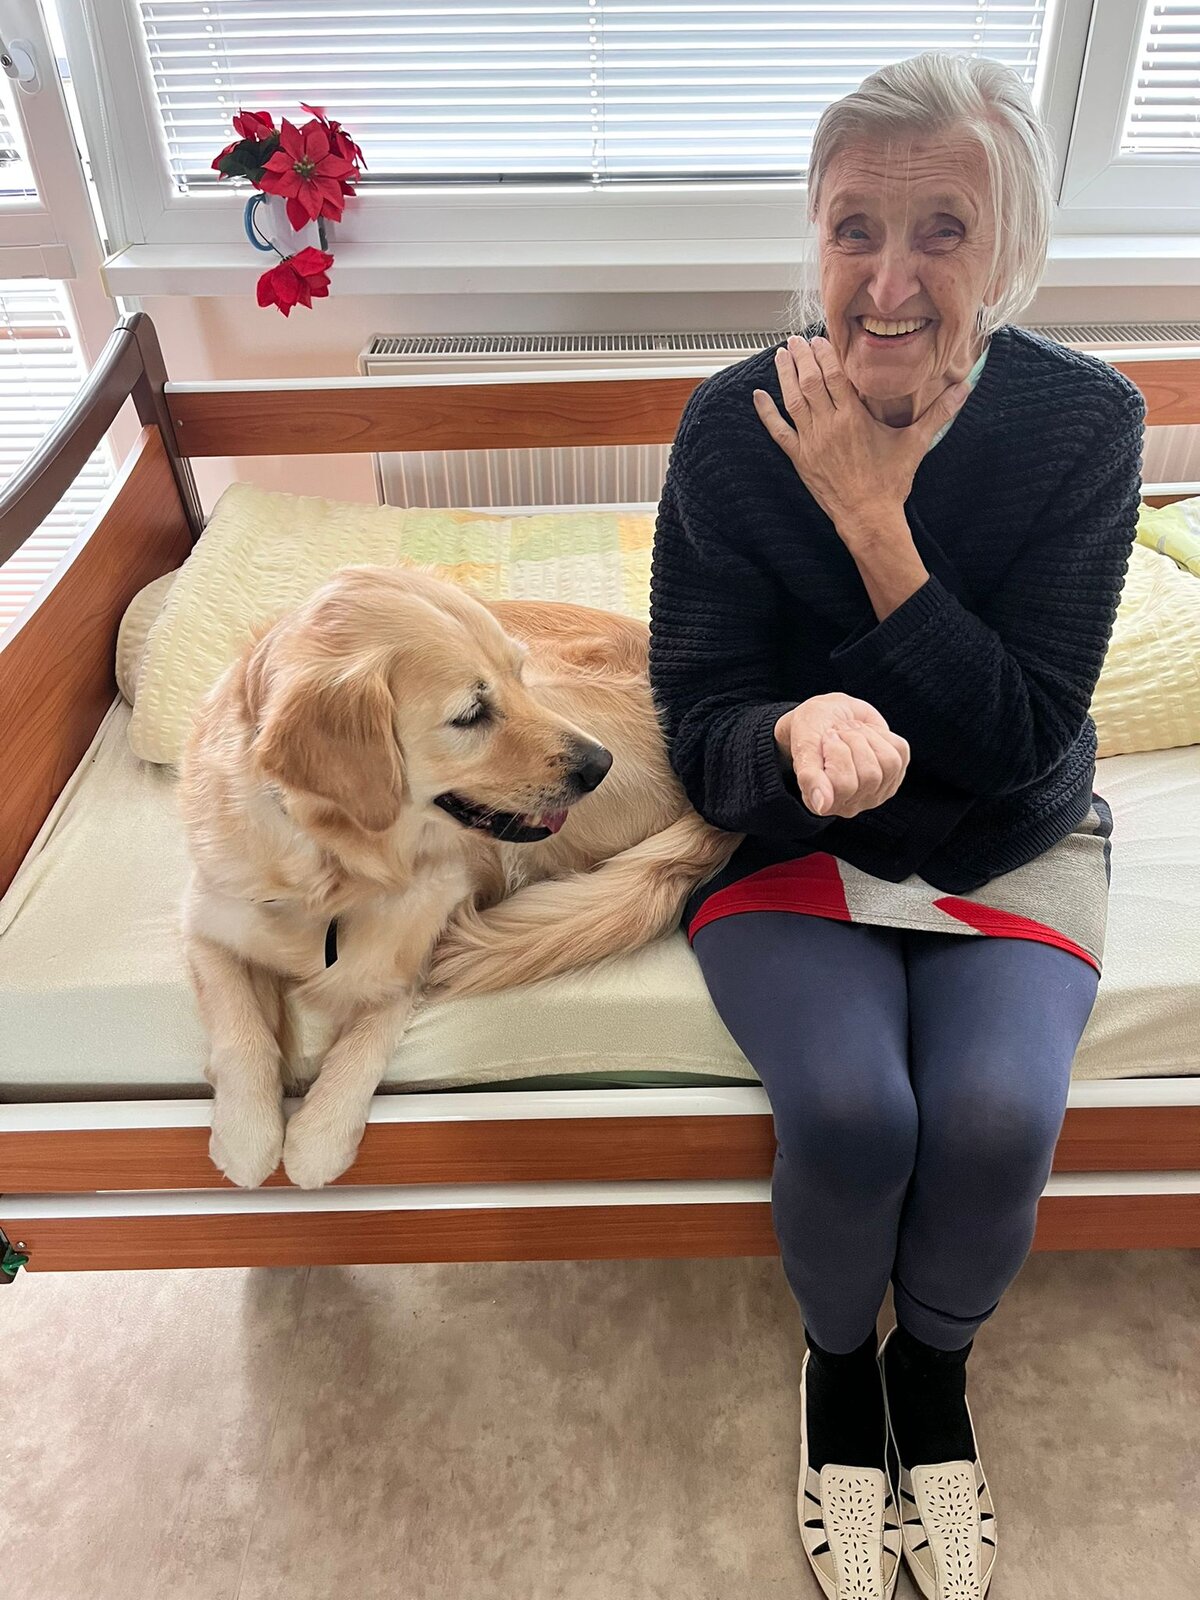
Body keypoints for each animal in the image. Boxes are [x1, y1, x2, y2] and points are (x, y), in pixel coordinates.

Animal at [179, 564, 735, 1189]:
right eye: (470, 715)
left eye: (517, 677)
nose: (600, 765)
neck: (336, 865)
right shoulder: (205, 917)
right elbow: (239, 1025)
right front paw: (246, 1135)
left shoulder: (412, 954)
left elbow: (366, 1040)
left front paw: (318, 1136)